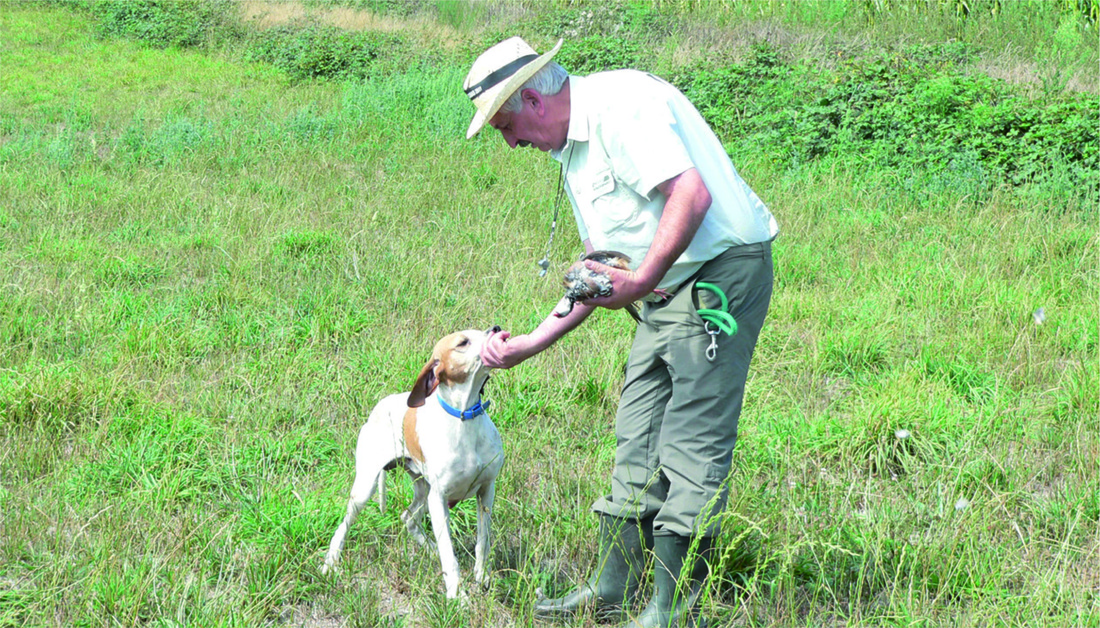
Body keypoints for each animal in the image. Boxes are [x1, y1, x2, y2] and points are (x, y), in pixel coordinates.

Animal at [321, 327, 503, 602]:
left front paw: (482, 577)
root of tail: (378, 409)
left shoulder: (486, 491)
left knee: (408, 517)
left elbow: (483, 541)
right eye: (463, 342)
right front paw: (457, 597)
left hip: (423, 491)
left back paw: (430, 549)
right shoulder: (439, 499)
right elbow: (449, 555)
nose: (496, 329)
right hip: (366, 488)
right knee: (345, 524)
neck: (464, 418)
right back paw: (331, 561)